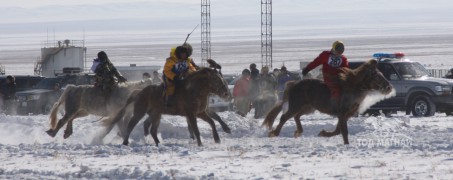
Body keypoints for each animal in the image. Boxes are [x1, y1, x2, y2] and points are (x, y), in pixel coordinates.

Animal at [101, 59, 231, 147]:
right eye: (215, 79)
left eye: (222, 78)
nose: (226, 93)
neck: (194, 90)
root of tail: (139, 92)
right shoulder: (191, 114)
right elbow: (196, 129)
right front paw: (200, 144)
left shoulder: (200, 112)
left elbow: (212, 122)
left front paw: (218, 138)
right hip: (140, 111)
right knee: (131, 125)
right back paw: (125, 142)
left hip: (156, 114)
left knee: (151, 129)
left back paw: (158, 143)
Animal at [264, 59, 394, 144]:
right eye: (377, 76)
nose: (389, 87)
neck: (352, 89)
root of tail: (293, 84)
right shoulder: (342, 114)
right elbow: (344, 131)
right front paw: (345, 143)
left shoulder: (345, 115)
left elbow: (338, 131)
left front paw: (323, 133)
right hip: (296, 105)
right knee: (285, 117)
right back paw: (274, 133)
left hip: (309, 107)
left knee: (297, 116)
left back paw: (298, 132)